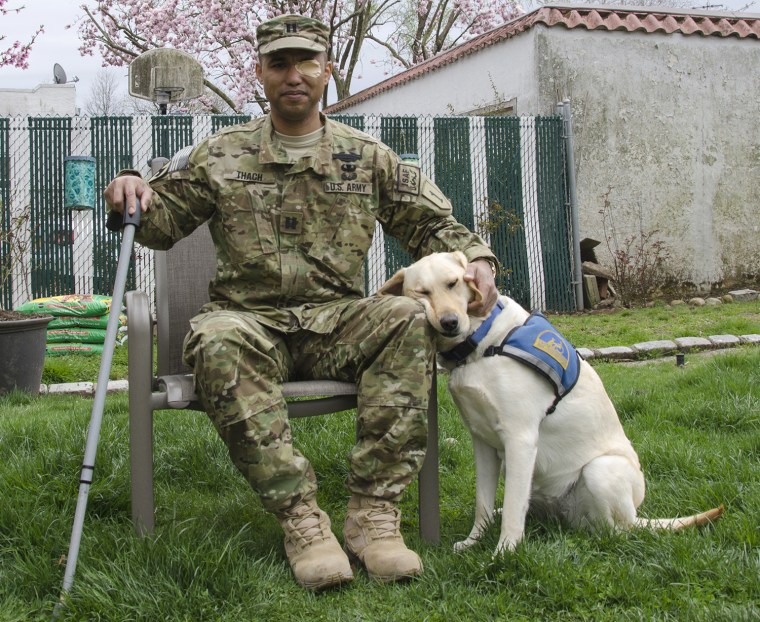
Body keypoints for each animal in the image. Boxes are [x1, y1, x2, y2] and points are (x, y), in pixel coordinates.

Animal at [380, 251, 724, 552]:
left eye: (453, 283)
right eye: (422, 292)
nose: (450, 322)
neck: (483, 343)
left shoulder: (520, 439)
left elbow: (513, 510)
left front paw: (503, 554)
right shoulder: (483, 442)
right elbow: (483, 503)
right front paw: (473, 542)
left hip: (600, 471)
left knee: (615, 531)